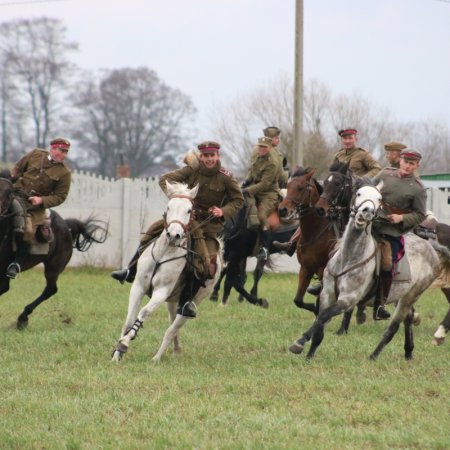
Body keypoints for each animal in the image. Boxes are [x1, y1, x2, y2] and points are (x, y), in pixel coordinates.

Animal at [111, 182, 222, 362]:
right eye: (168, 207)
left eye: (189, 210)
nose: (174, 235)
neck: (164, 253)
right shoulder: (138, 287)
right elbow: (129, 320)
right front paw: (116, 354)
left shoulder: (161, 292)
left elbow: (144, 312)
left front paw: (125, 342)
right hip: (172, 301)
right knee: (172, 323)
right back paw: (176, 350)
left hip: (193, 301)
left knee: (172, 329)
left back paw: (157, 358)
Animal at [288, 181, 450, 360]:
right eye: (359, 193)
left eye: (379, 199)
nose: (367, 212)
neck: (348, 258)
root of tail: (432, 247)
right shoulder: (326, 293)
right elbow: (320, 322)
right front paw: (309, 355)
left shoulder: (348, 299)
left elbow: (323, 316)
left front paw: (299, 343)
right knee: (407, 319)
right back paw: (408, 351)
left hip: (411, 295)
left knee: (393, 327)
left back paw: (374, 356)